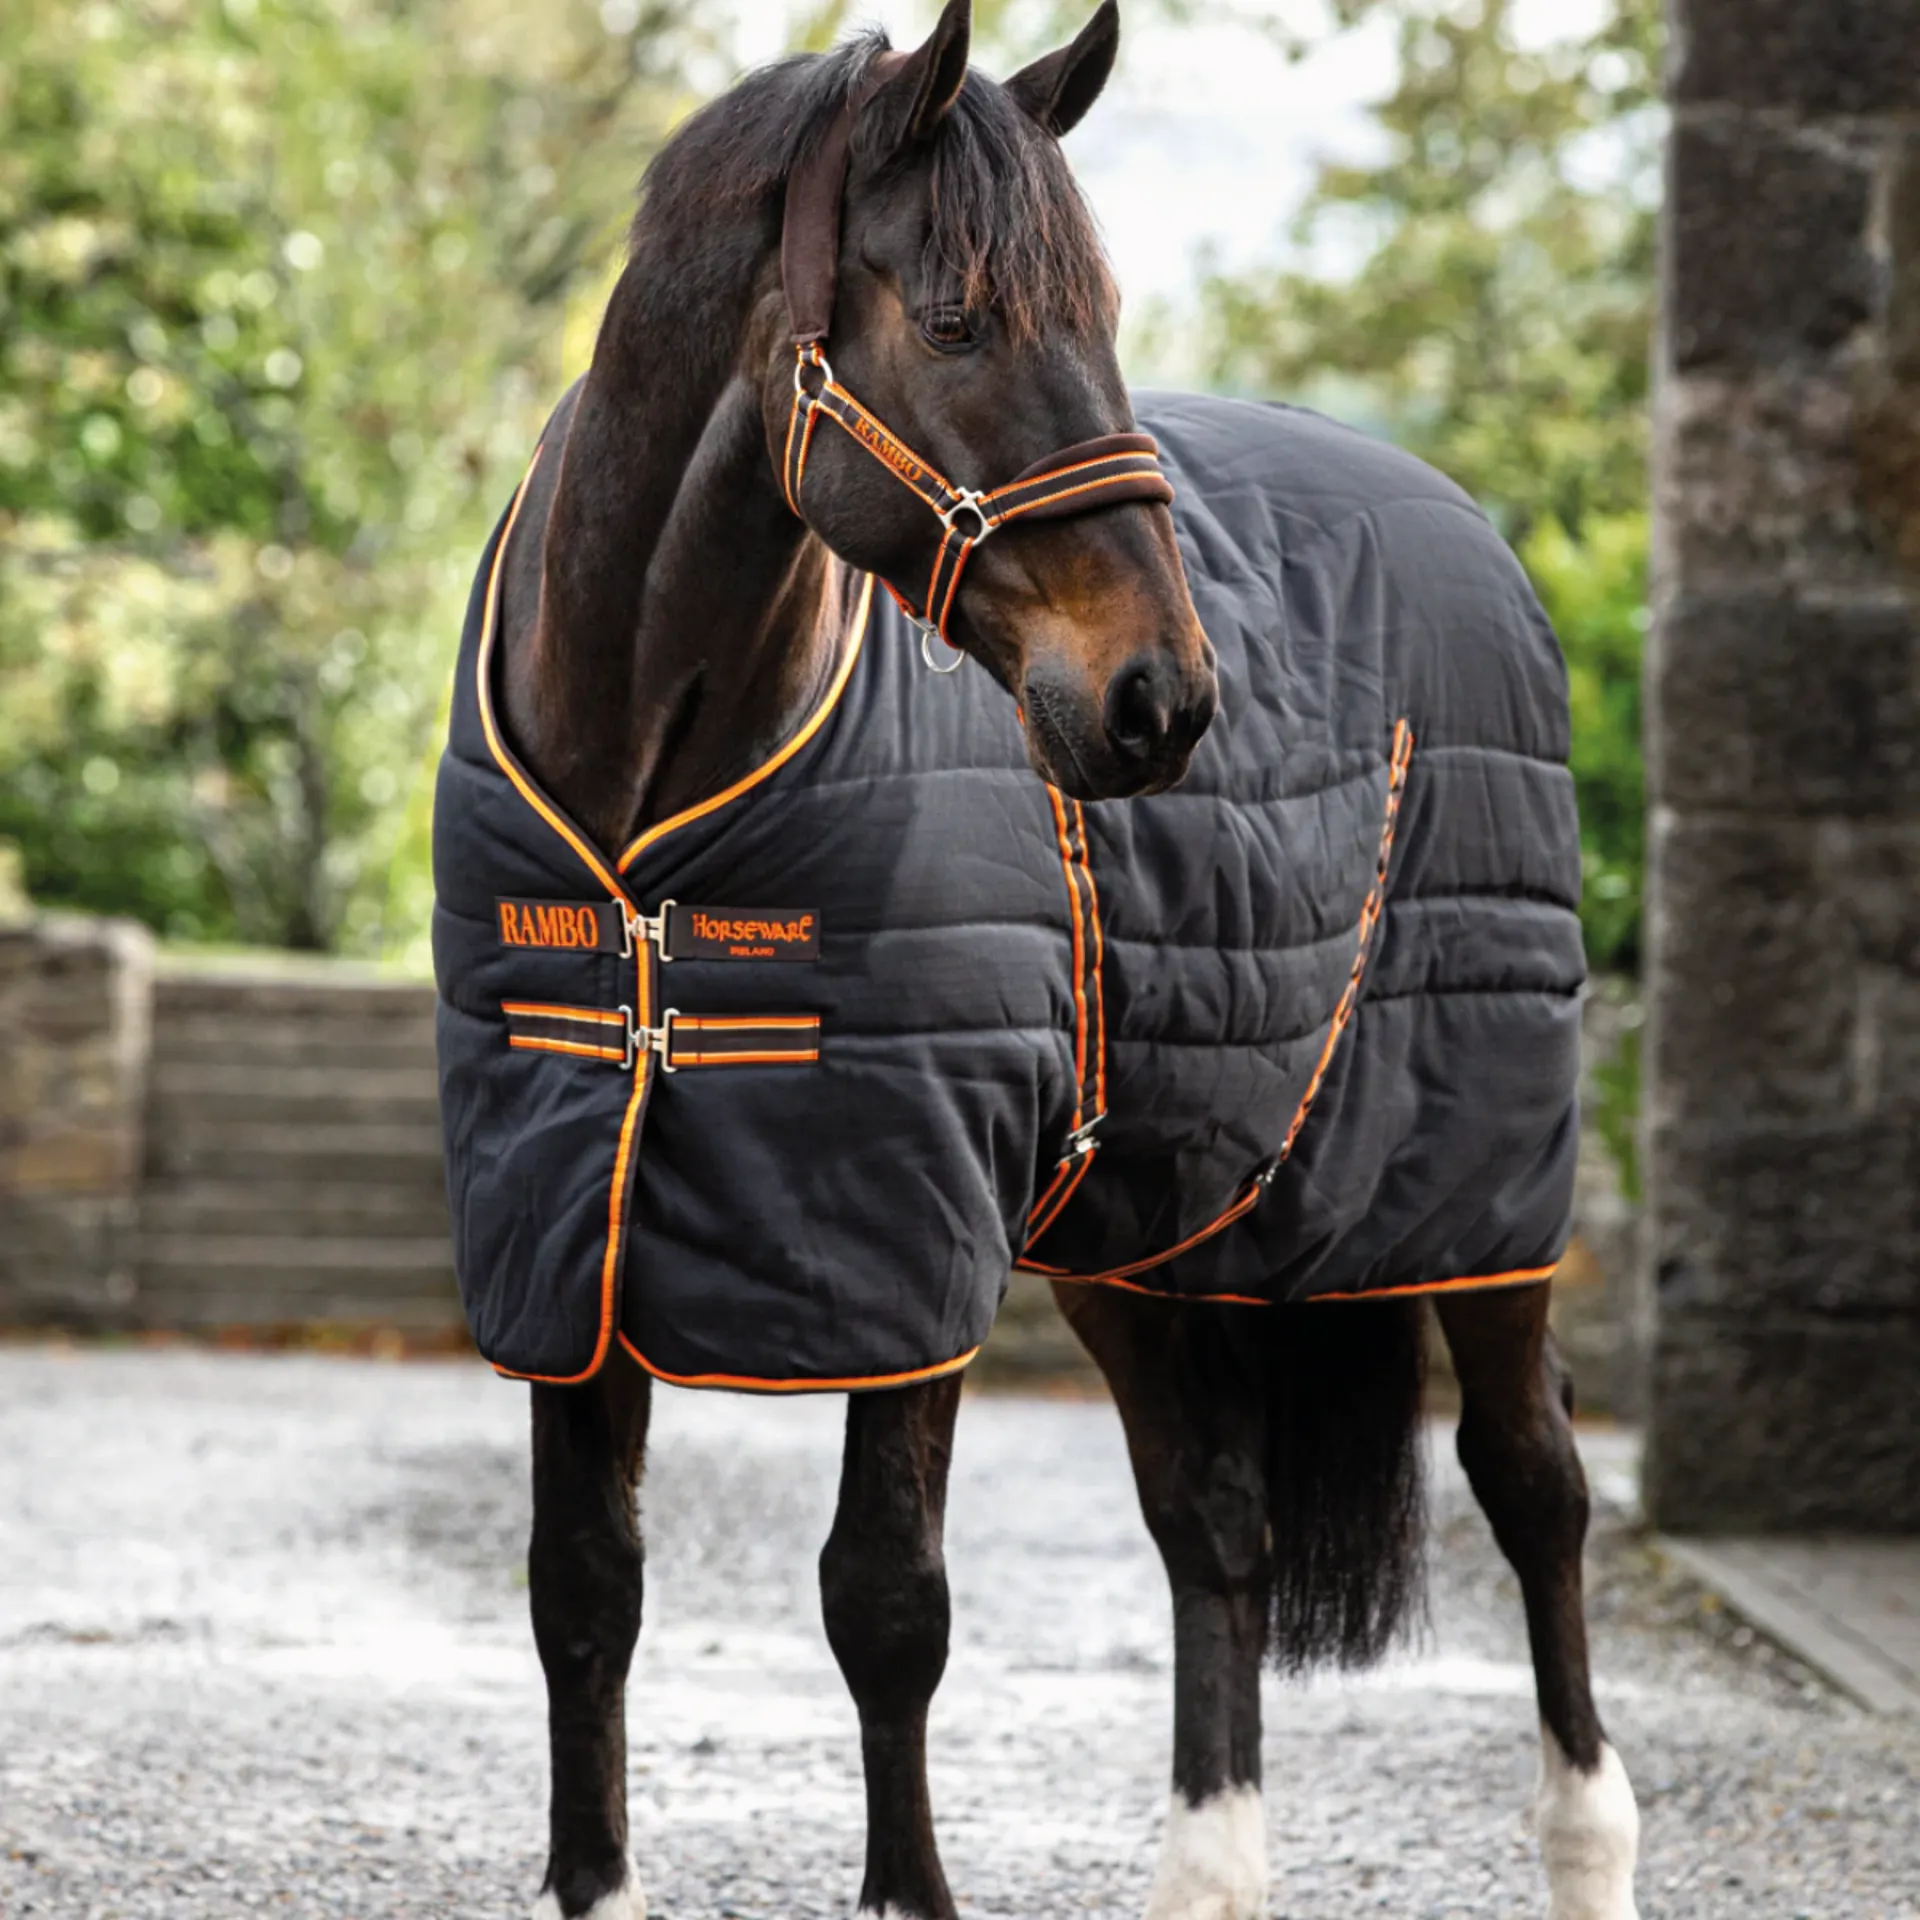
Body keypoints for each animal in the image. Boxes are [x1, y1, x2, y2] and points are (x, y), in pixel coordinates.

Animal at [431, 4, 1641, 1915]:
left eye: (1104, 319)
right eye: (954, 320)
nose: (1164, 698)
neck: (646, 814)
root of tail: (1461, 520)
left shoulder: (904, 1230)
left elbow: (885, 1604)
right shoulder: (571, 1231)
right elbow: (582, 1594)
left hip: (1480, 1183)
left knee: (1536, 1487)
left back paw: (1589, 1845)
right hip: (1153, 1210)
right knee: (1216, 1522)